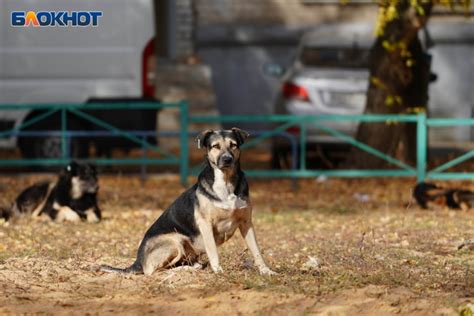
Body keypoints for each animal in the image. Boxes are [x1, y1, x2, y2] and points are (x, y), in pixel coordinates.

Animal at [102, 127, 276, 276]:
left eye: (233, 145)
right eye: (215, 146)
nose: (227, 159)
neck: (226, 182)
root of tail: (138, 261)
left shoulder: (246, 223)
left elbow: (257, 251)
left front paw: (266, 271)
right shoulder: (205, 224)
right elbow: (213, 250)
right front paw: (218, 271)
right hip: (175, 240)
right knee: (155, 271)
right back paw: (187, 269)